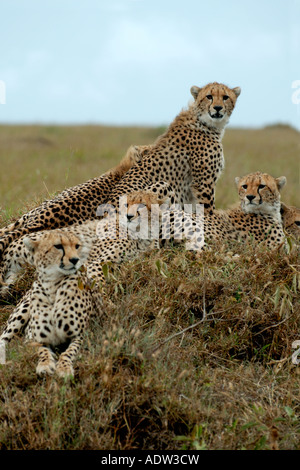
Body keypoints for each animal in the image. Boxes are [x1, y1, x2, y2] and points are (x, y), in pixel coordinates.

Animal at [0, 229, 104, 376]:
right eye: (58, 246)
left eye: (77, 246)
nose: (75, 260)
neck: (52, 285)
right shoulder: (38, 339)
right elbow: (43, 351)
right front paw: (45, 365)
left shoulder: (82, 335)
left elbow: (68, 352)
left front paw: (64, 368)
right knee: (3, 340)